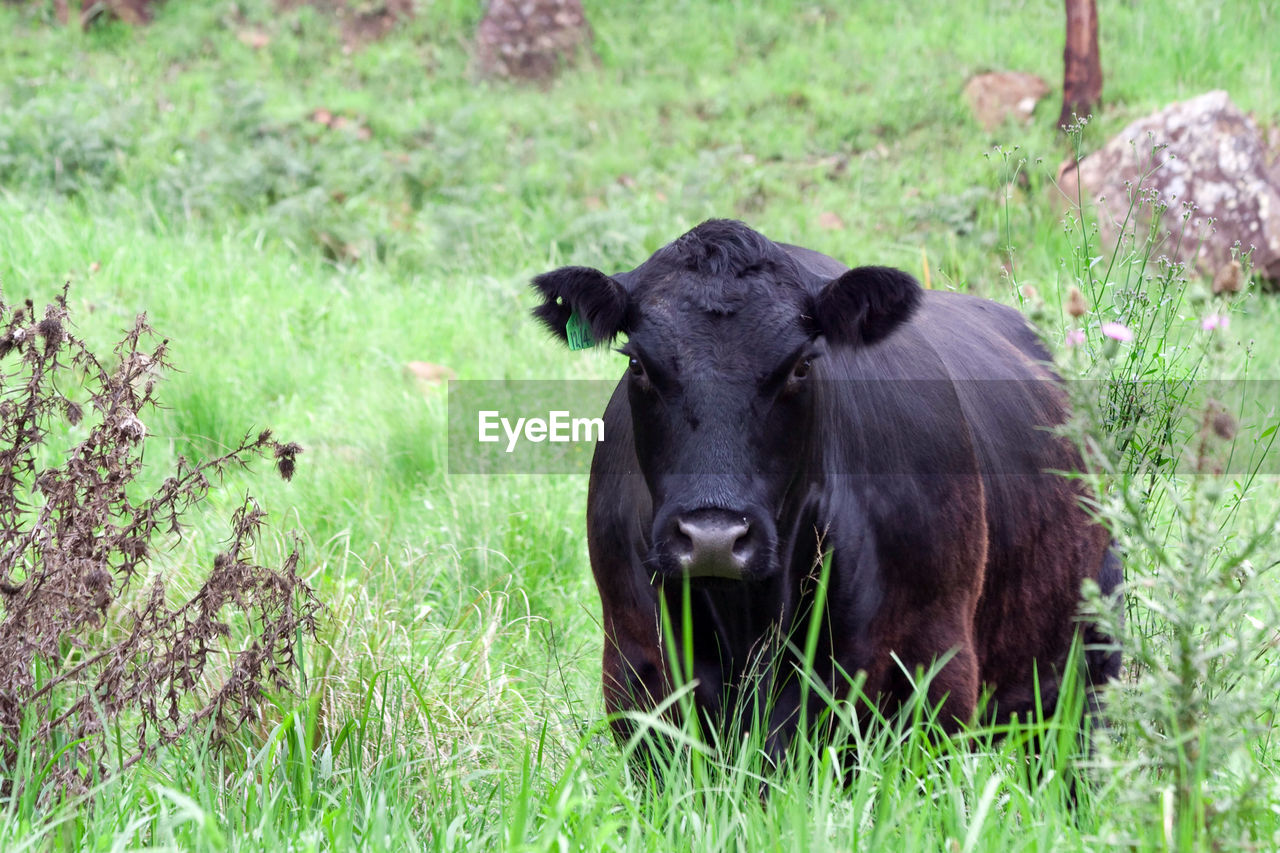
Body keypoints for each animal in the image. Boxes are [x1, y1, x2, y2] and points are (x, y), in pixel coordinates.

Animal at [529, 217, 1121, 758]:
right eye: (638, 364)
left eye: (799, 366)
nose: (713, 538)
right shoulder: (639, 671)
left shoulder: (931, 672)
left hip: (1083, 678)